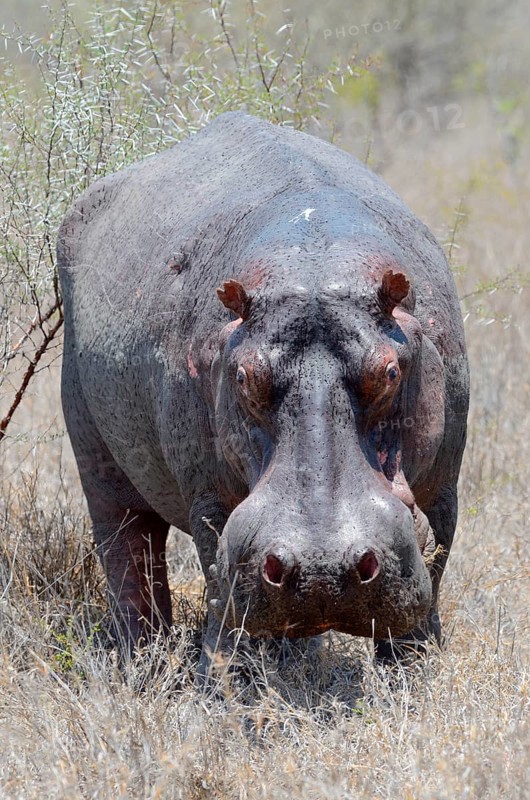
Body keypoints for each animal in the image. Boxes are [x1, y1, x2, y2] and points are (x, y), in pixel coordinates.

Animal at [58, 111, 469, 675]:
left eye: (389, 371)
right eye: (244, 377)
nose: (323, 569)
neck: (315, 262)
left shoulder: (444, 489)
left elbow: (436, 560)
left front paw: (413, 671)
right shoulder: (209, 496)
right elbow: (216, 571)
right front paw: (223, 681)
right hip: (98, 463)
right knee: (129, 552)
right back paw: (142, 662)